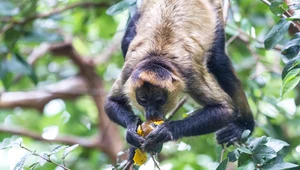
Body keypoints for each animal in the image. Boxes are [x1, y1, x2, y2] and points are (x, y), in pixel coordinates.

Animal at [104, 0, 254, 153]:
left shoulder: (190, 73)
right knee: (125, 42)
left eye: (159, 101)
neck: (156, 56)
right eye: (143, 101)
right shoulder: (130, 71)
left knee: (219, 61)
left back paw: (243, 126)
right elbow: (111, 102)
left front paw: (166, 131)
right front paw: (131, 129)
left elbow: (225, 109)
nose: (151, 113)